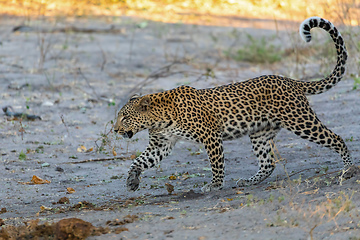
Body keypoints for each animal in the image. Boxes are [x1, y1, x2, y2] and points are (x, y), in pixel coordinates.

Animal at [114, 16, 352, 192]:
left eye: (124, 117)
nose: (115, 130)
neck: (158, 120)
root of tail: (291, 81)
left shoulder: (210, 136)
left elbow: (216, 163)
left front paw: (215, 185)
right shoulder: (160, 145)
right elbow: (139, 161)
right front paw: (132, 180)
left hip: (301, 121)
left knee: (337, 138)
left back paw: (348, 170)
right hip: (260, 133)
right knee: (268, 163)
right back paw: (249, 181)